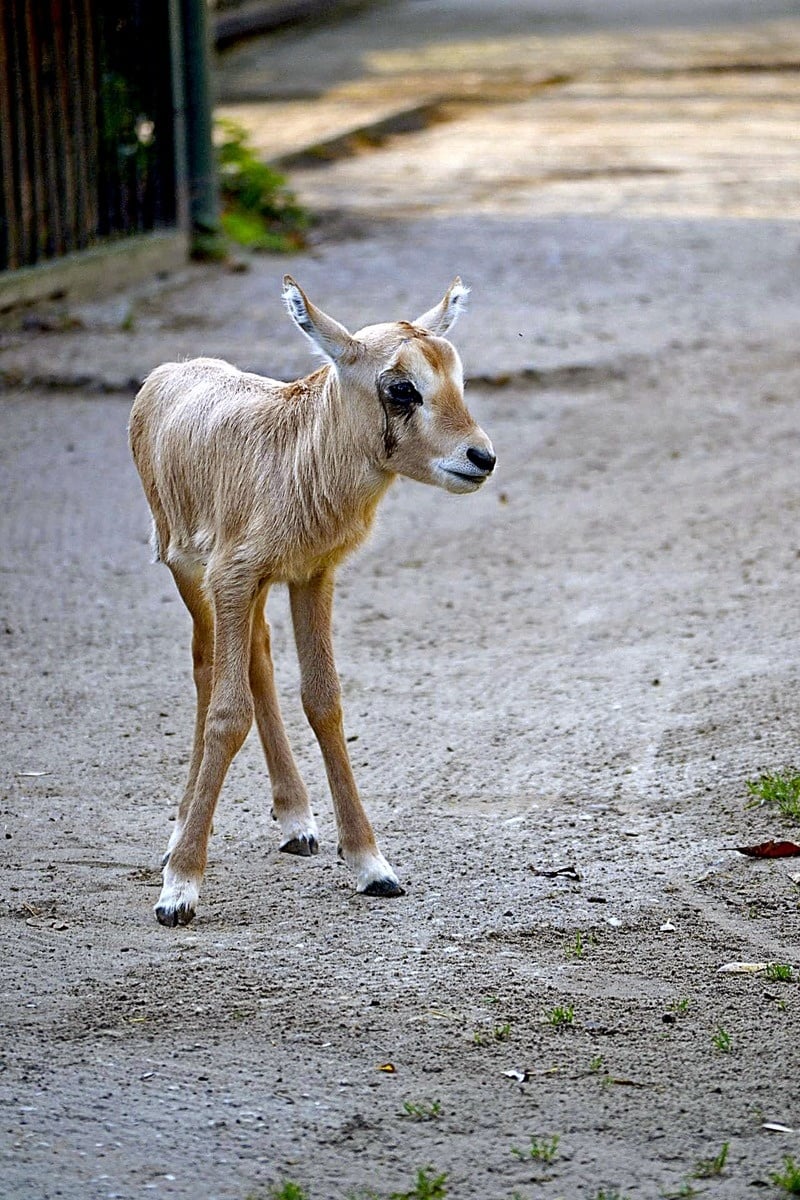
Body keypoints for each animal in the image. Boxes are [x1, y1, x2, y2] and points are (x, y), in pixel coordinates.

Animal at [130, 274, 494, 926]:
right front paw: (179, 889)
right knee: (207, 669)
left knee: (259, 654)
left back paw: (297, 822)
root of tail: (167, 375)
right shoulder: (230, 578)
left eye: (456, 376)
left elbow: (324, 701)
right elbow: (227, 712)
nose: (481, 457)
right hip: (190, 574)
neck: (296, 454)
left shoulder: (310, 576)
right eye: (402, 386)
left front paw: (372, 866)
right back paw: (179, 838)